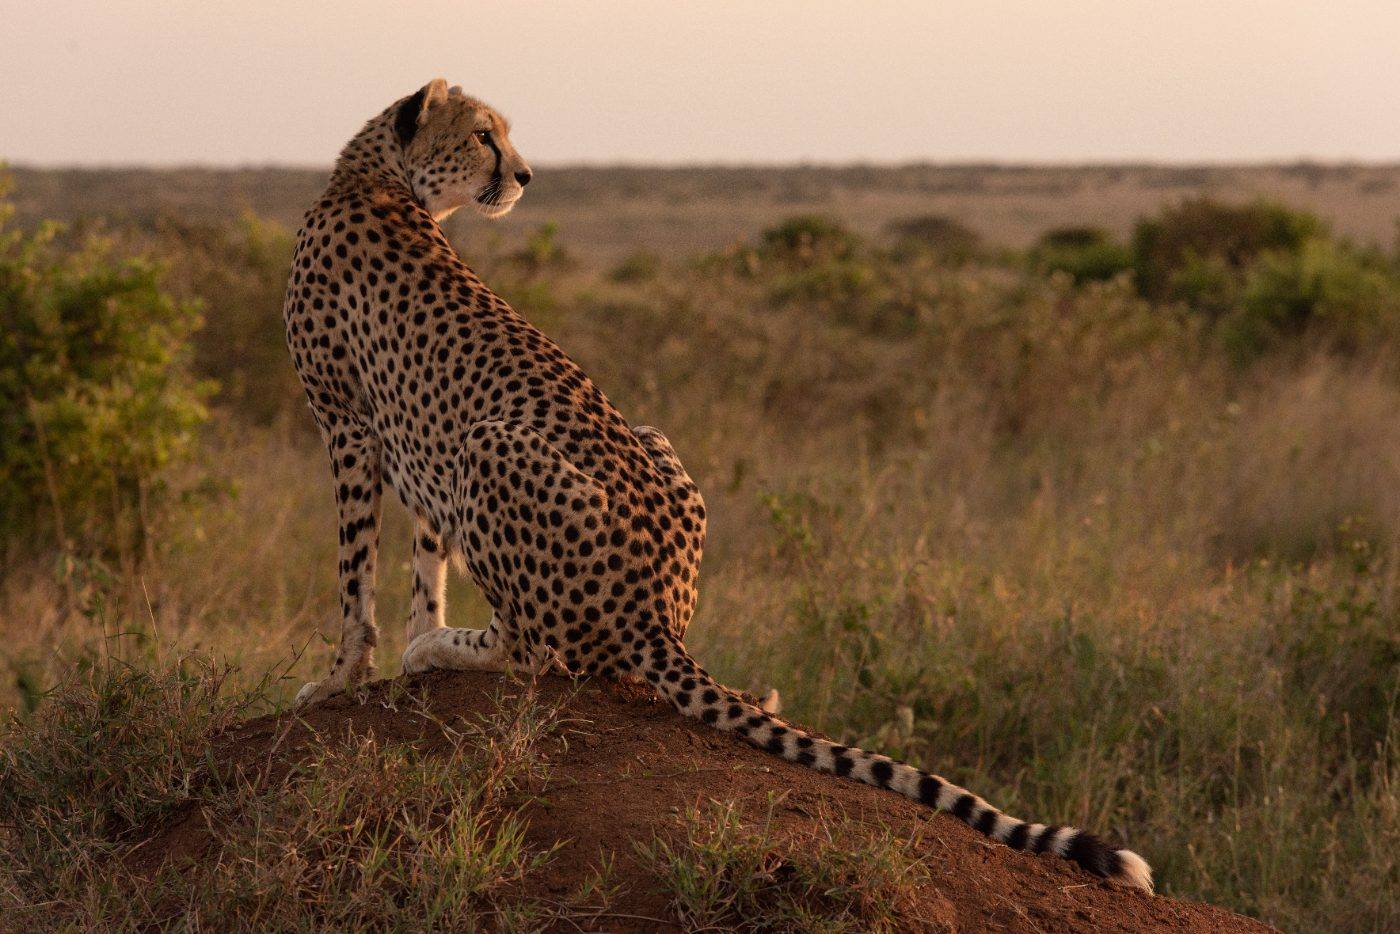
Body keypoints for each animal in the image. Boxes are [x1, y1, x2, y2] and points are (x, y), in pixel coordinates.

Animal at [282, 78, 1153, 893]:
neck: (375, 177)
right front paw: (395, 653)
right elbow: (421, 565)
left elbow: (354, 579)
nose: (524, 175)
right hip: (644, 438)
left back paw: (444, 649)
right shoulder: (394, 436)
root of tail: (661, 611)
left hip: (490, 441)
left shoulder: (348, 424)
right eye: (483, 136)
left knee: (538, 651)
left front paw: (346, 674)